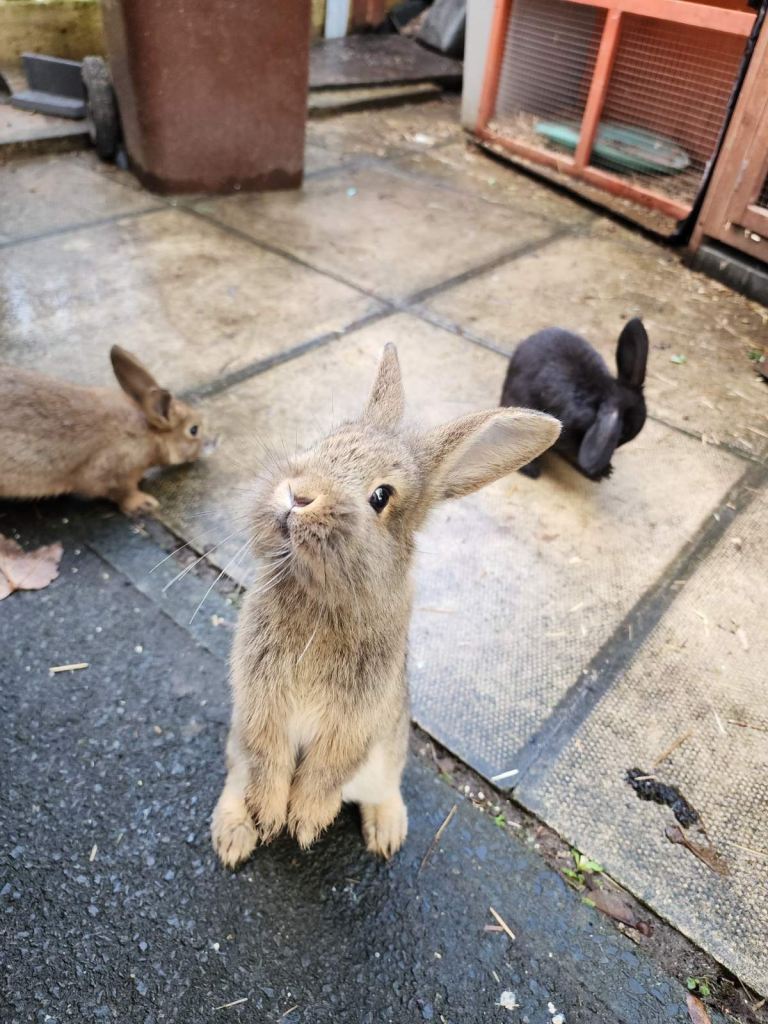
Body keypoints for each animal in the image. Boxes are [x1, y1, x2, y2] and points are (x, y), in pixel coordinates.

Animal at [0, 346, 212, 516]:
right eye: (193, 430)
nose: (211, 444)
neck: (148, 435)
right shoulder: (110, 472)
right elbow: (121, 493)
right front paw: (144, 504)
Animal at [211, 343, 560, 868]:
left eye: (381, 496)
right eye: (324, 442)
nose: (298, 495)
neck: (322, 595)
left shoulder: (357, 717)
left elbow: (329, 767)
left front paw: (305, 820)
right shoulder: (260, 698)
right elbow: (268, 756)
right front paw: (272, 816)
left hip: (387, 754)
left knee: (379, 791)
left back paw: (388, 834)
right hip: (238, 744)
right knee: (239, 776)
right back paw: (234, 837)